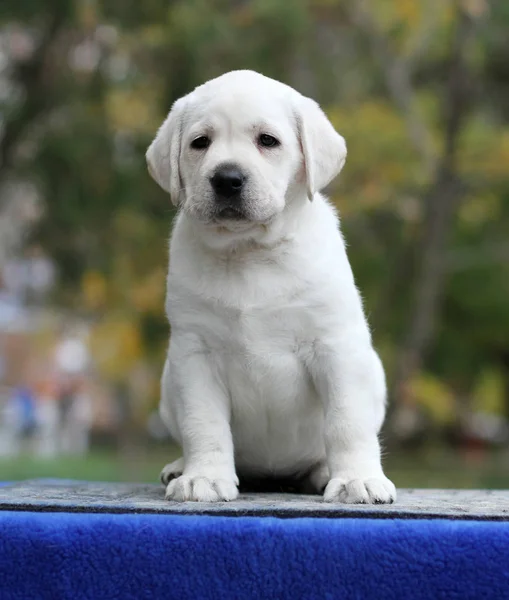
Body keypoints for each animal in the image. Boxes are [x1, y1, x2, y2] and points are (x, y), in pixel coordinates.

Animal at [145, 69, 394, 506]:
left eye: (267, 140)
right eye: (200, 142)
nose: (227, 178)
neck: (250, 252)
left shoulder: (335, 346)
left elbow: (347, 421)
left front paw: (357, 480)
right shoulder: (195, 353)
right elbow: (203, 423)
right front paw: (204, 477)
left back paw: (325, 472)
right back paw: (180, 465)